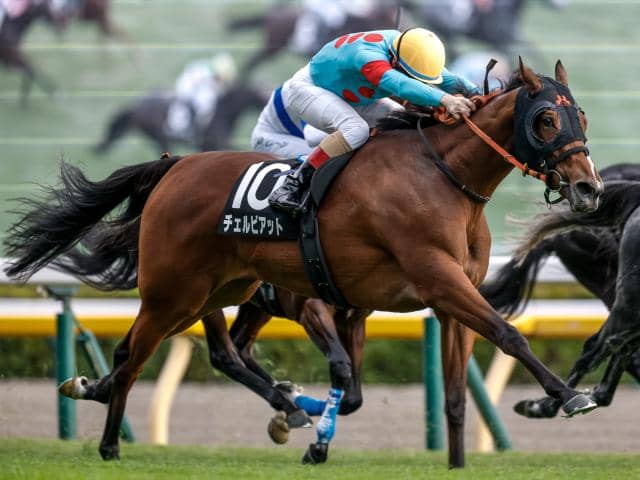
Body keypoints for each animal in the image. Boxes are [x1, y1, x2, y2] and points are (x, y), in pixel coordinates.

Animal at [94, 84, 267, 154]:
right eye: (261, 94)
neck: (222, 111)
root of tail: (136, 106)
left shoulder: (208, 145)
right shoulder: (219, 142)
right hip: (160, 137)